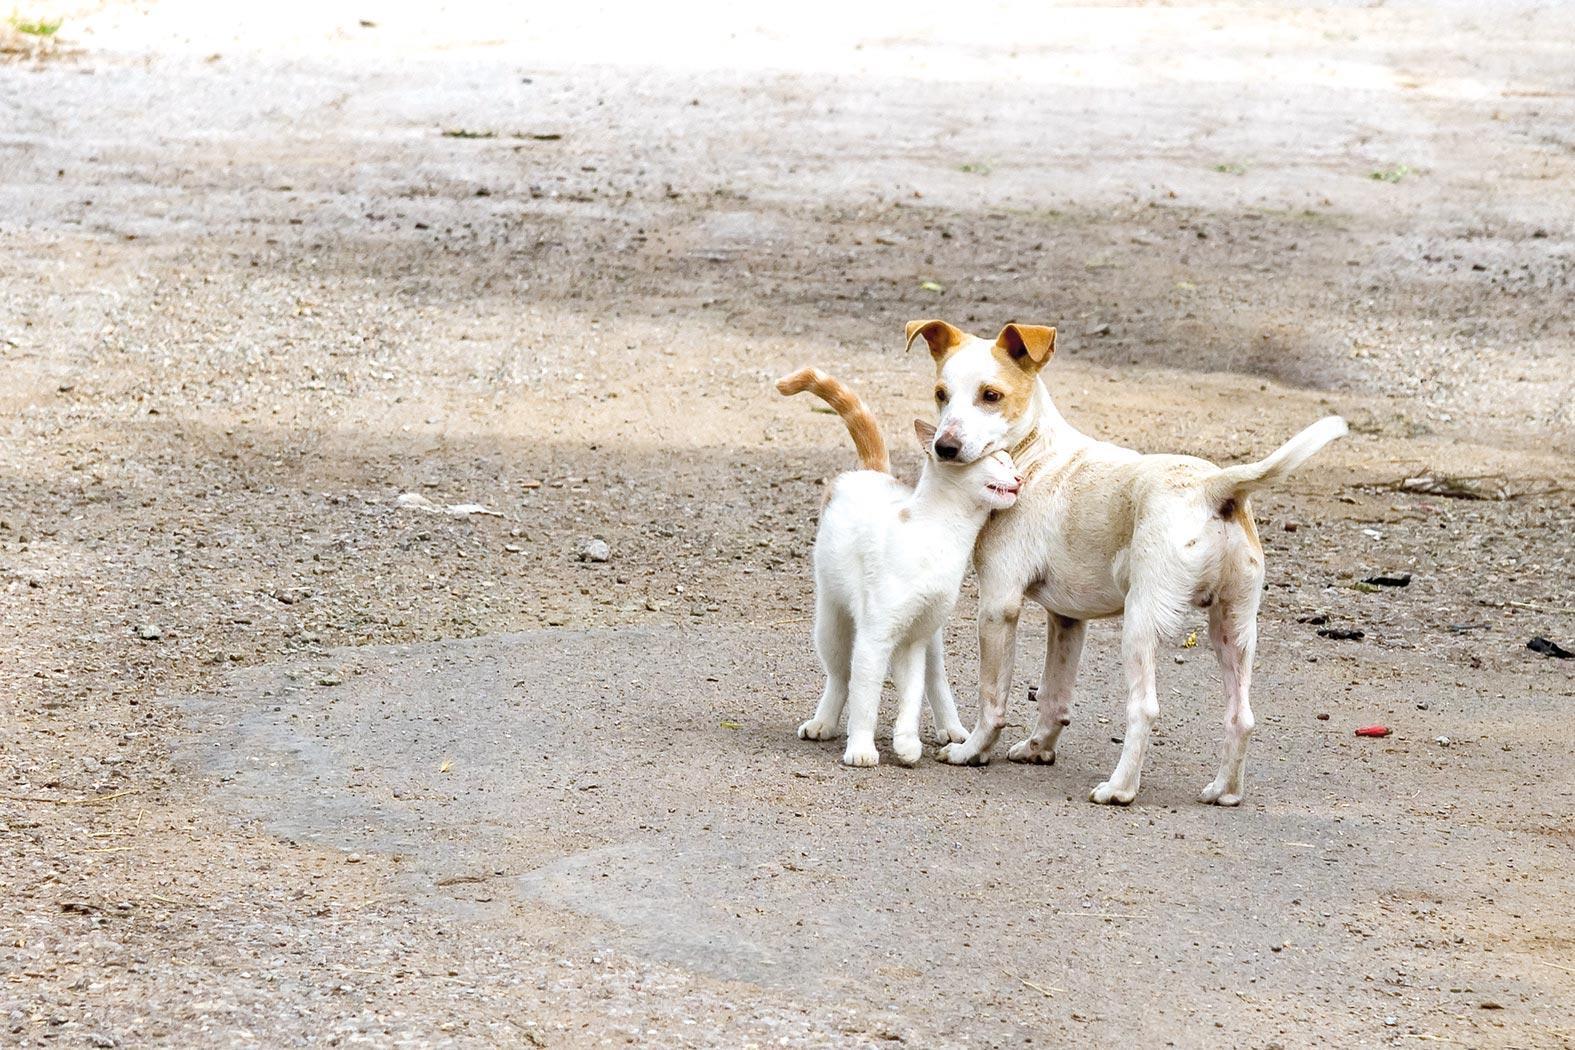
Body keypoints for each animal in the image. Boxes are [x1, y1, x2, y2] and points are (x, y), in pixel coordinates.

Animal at [774, 371, 1020, 771]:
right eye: (998, 463)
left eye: (1012, 464)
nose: (1020, 478)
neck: (941, 534)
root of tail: (871, 472)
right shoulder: (875, 637)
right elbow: (865, 696)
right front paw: (861, 747)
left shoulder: (913, 641)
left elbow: (912, 694)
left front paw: (906, 742)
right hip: (832, 622)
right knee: (840, 676)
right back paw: (823, 722)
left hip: (931, 636)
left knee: (935, 680)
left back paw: (951, 728)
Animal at [907, 317, 1348, 805]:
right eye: (941, 394)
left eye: (991, 395)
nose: (944, 447)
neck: (1035, 454)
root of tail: (1214, 486)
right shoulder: (1067, 619)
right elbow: (1054, 696)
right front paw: (1039, 749)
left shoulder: (998, 605)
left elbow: (993, 699)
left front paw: (973, 751)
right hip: (1233, 629)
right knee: (1241, 716)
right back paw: (1225, 790)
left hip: (1140, 624)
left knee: (1145, 708)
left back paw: (1120, 789)